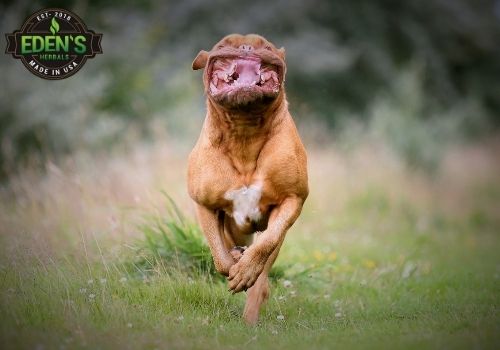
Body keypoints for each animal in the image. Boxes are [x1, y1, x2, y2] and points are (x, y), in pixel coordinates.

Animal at [186, 34, 306, 324]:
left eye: (267, 47)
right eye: (222, 46)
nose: (246, 47)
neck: (244, 132)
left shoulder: (293, 198)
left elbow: (267, 243)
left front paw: (246, 271)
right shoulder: (204, 204)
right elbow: (219, 255)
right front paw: (232, 264)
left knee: (265, 259)